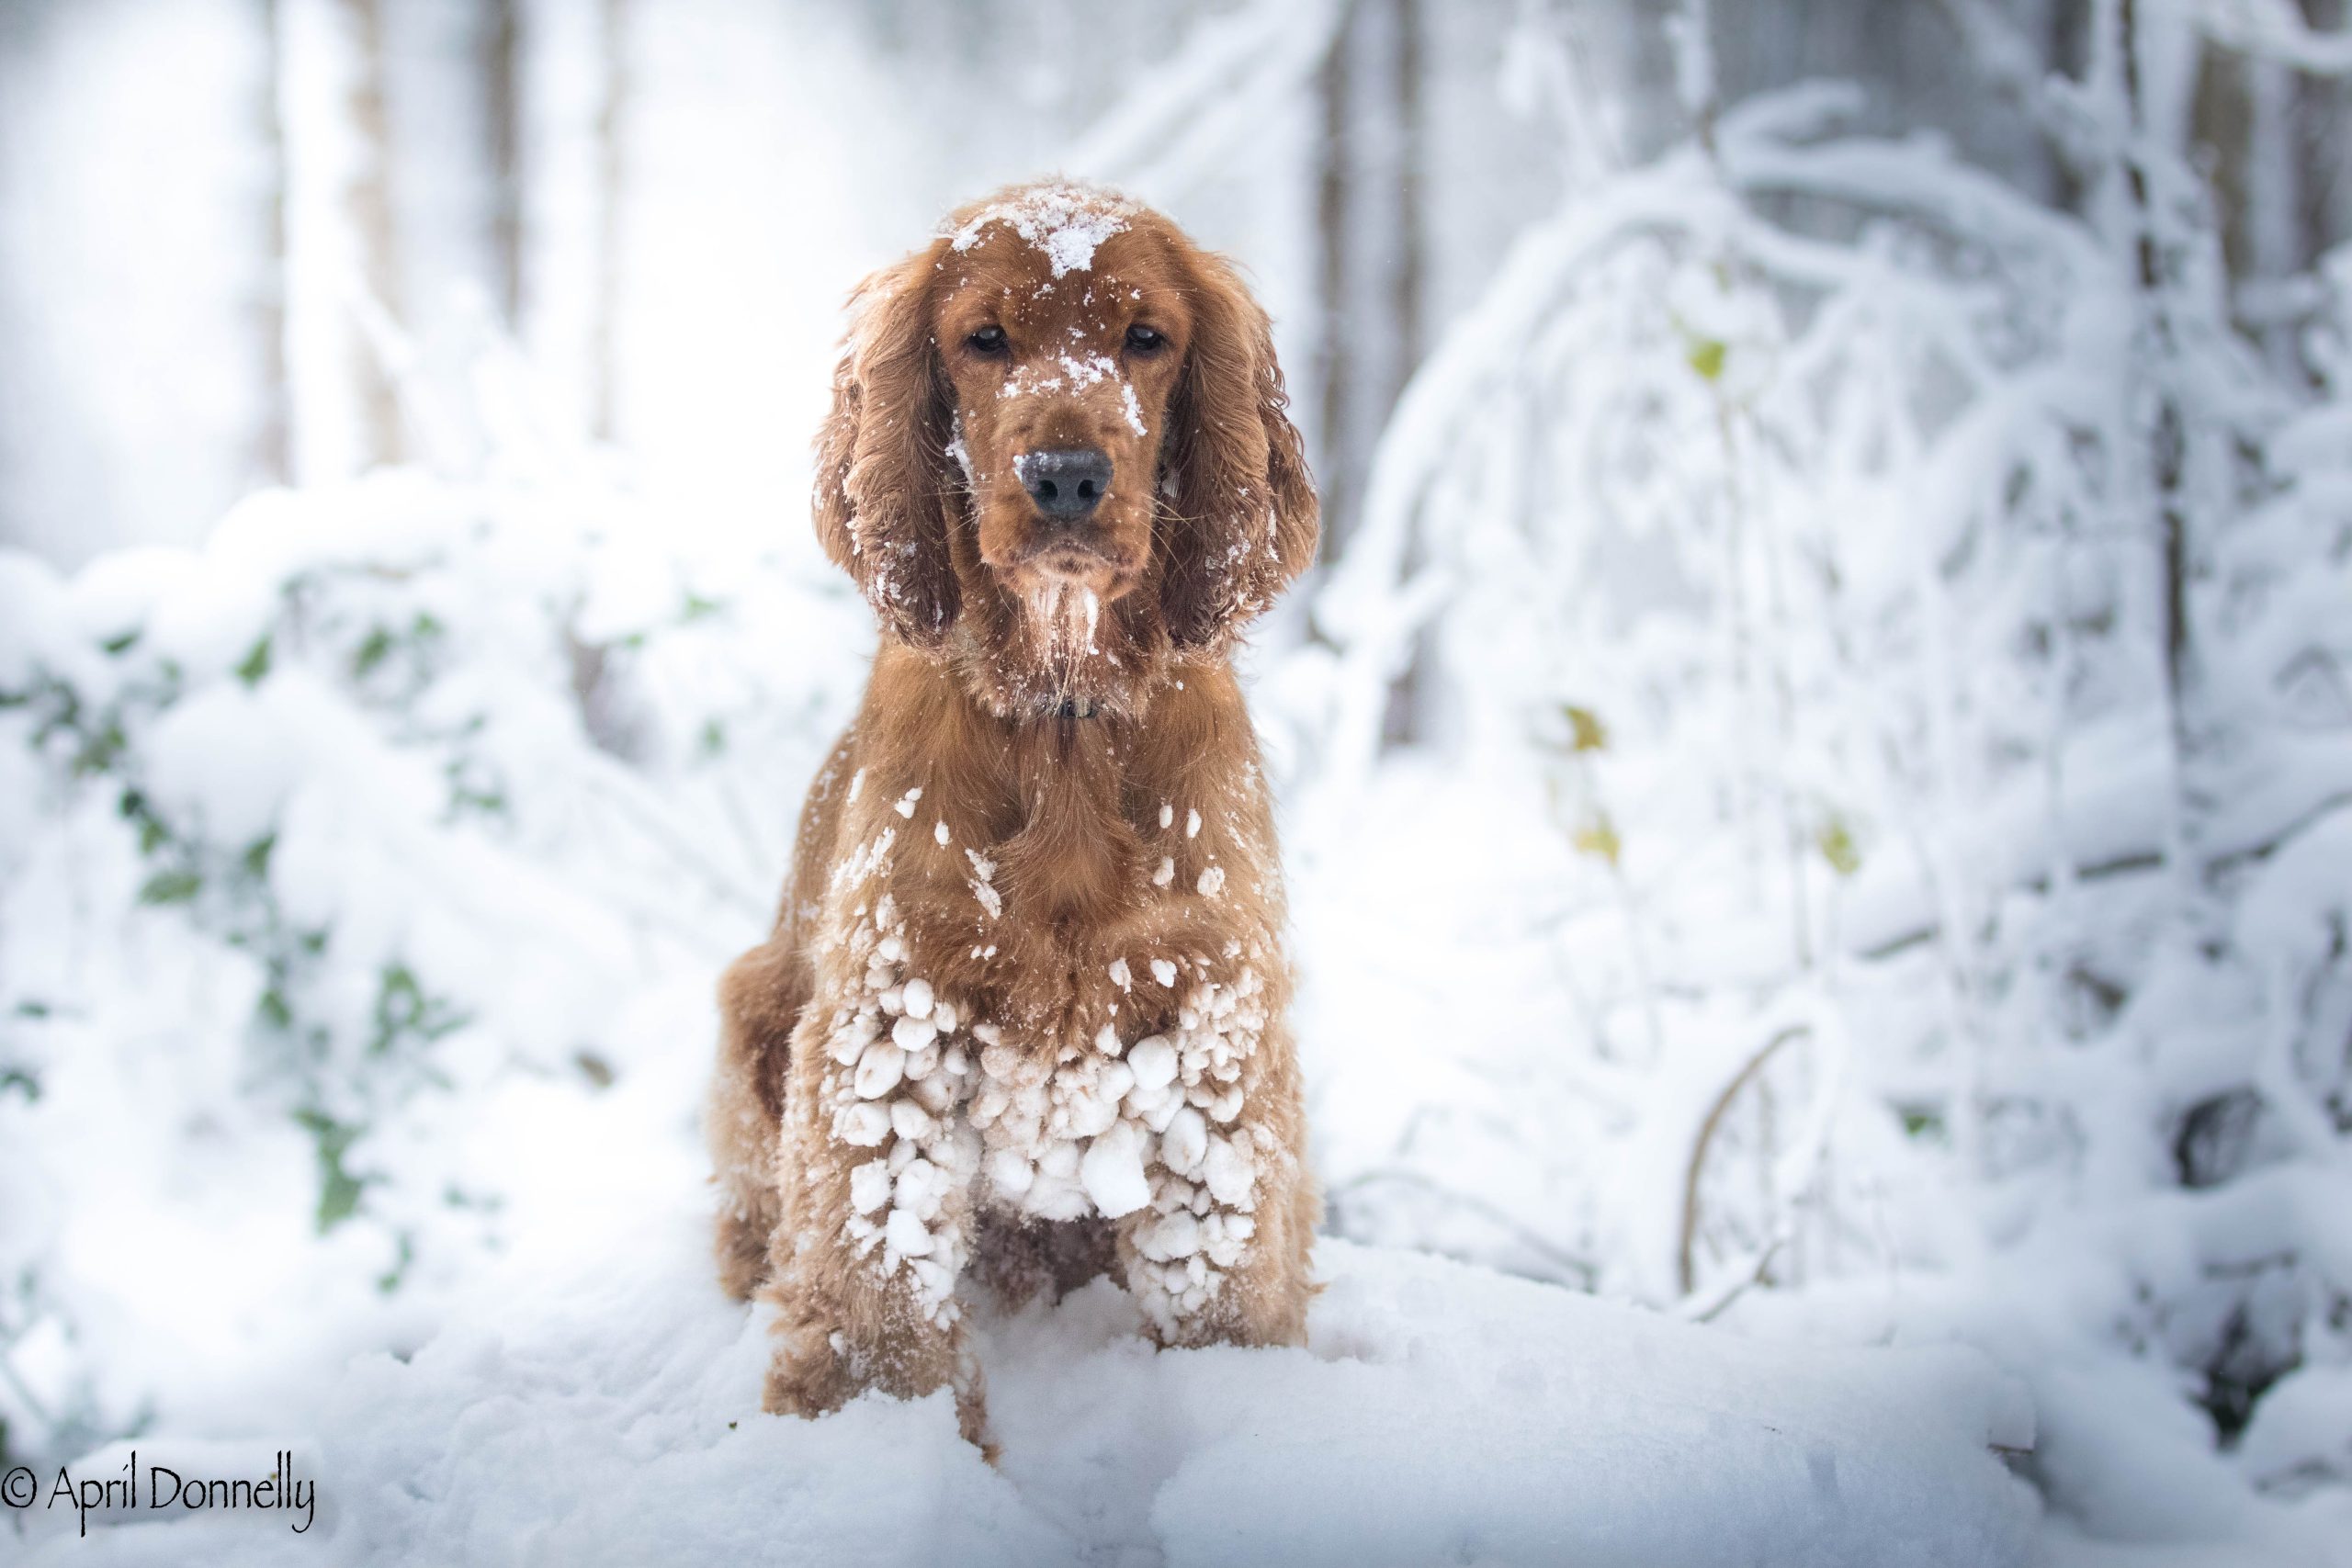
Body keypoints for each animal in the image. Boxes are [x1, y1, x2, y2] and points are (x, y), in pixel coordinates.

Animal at [695, 181, 1326, 1448]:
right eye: (983, 338)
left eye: (1146, 336)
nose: (1067, 475)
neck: (1063, 719)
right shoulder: (889, 1019)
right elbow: (873, 1274)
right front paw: (870, 1423)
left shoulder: (1214, 1021)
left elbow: (1223, 1268)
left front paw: (1240, 1406)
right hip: (752, 1011)